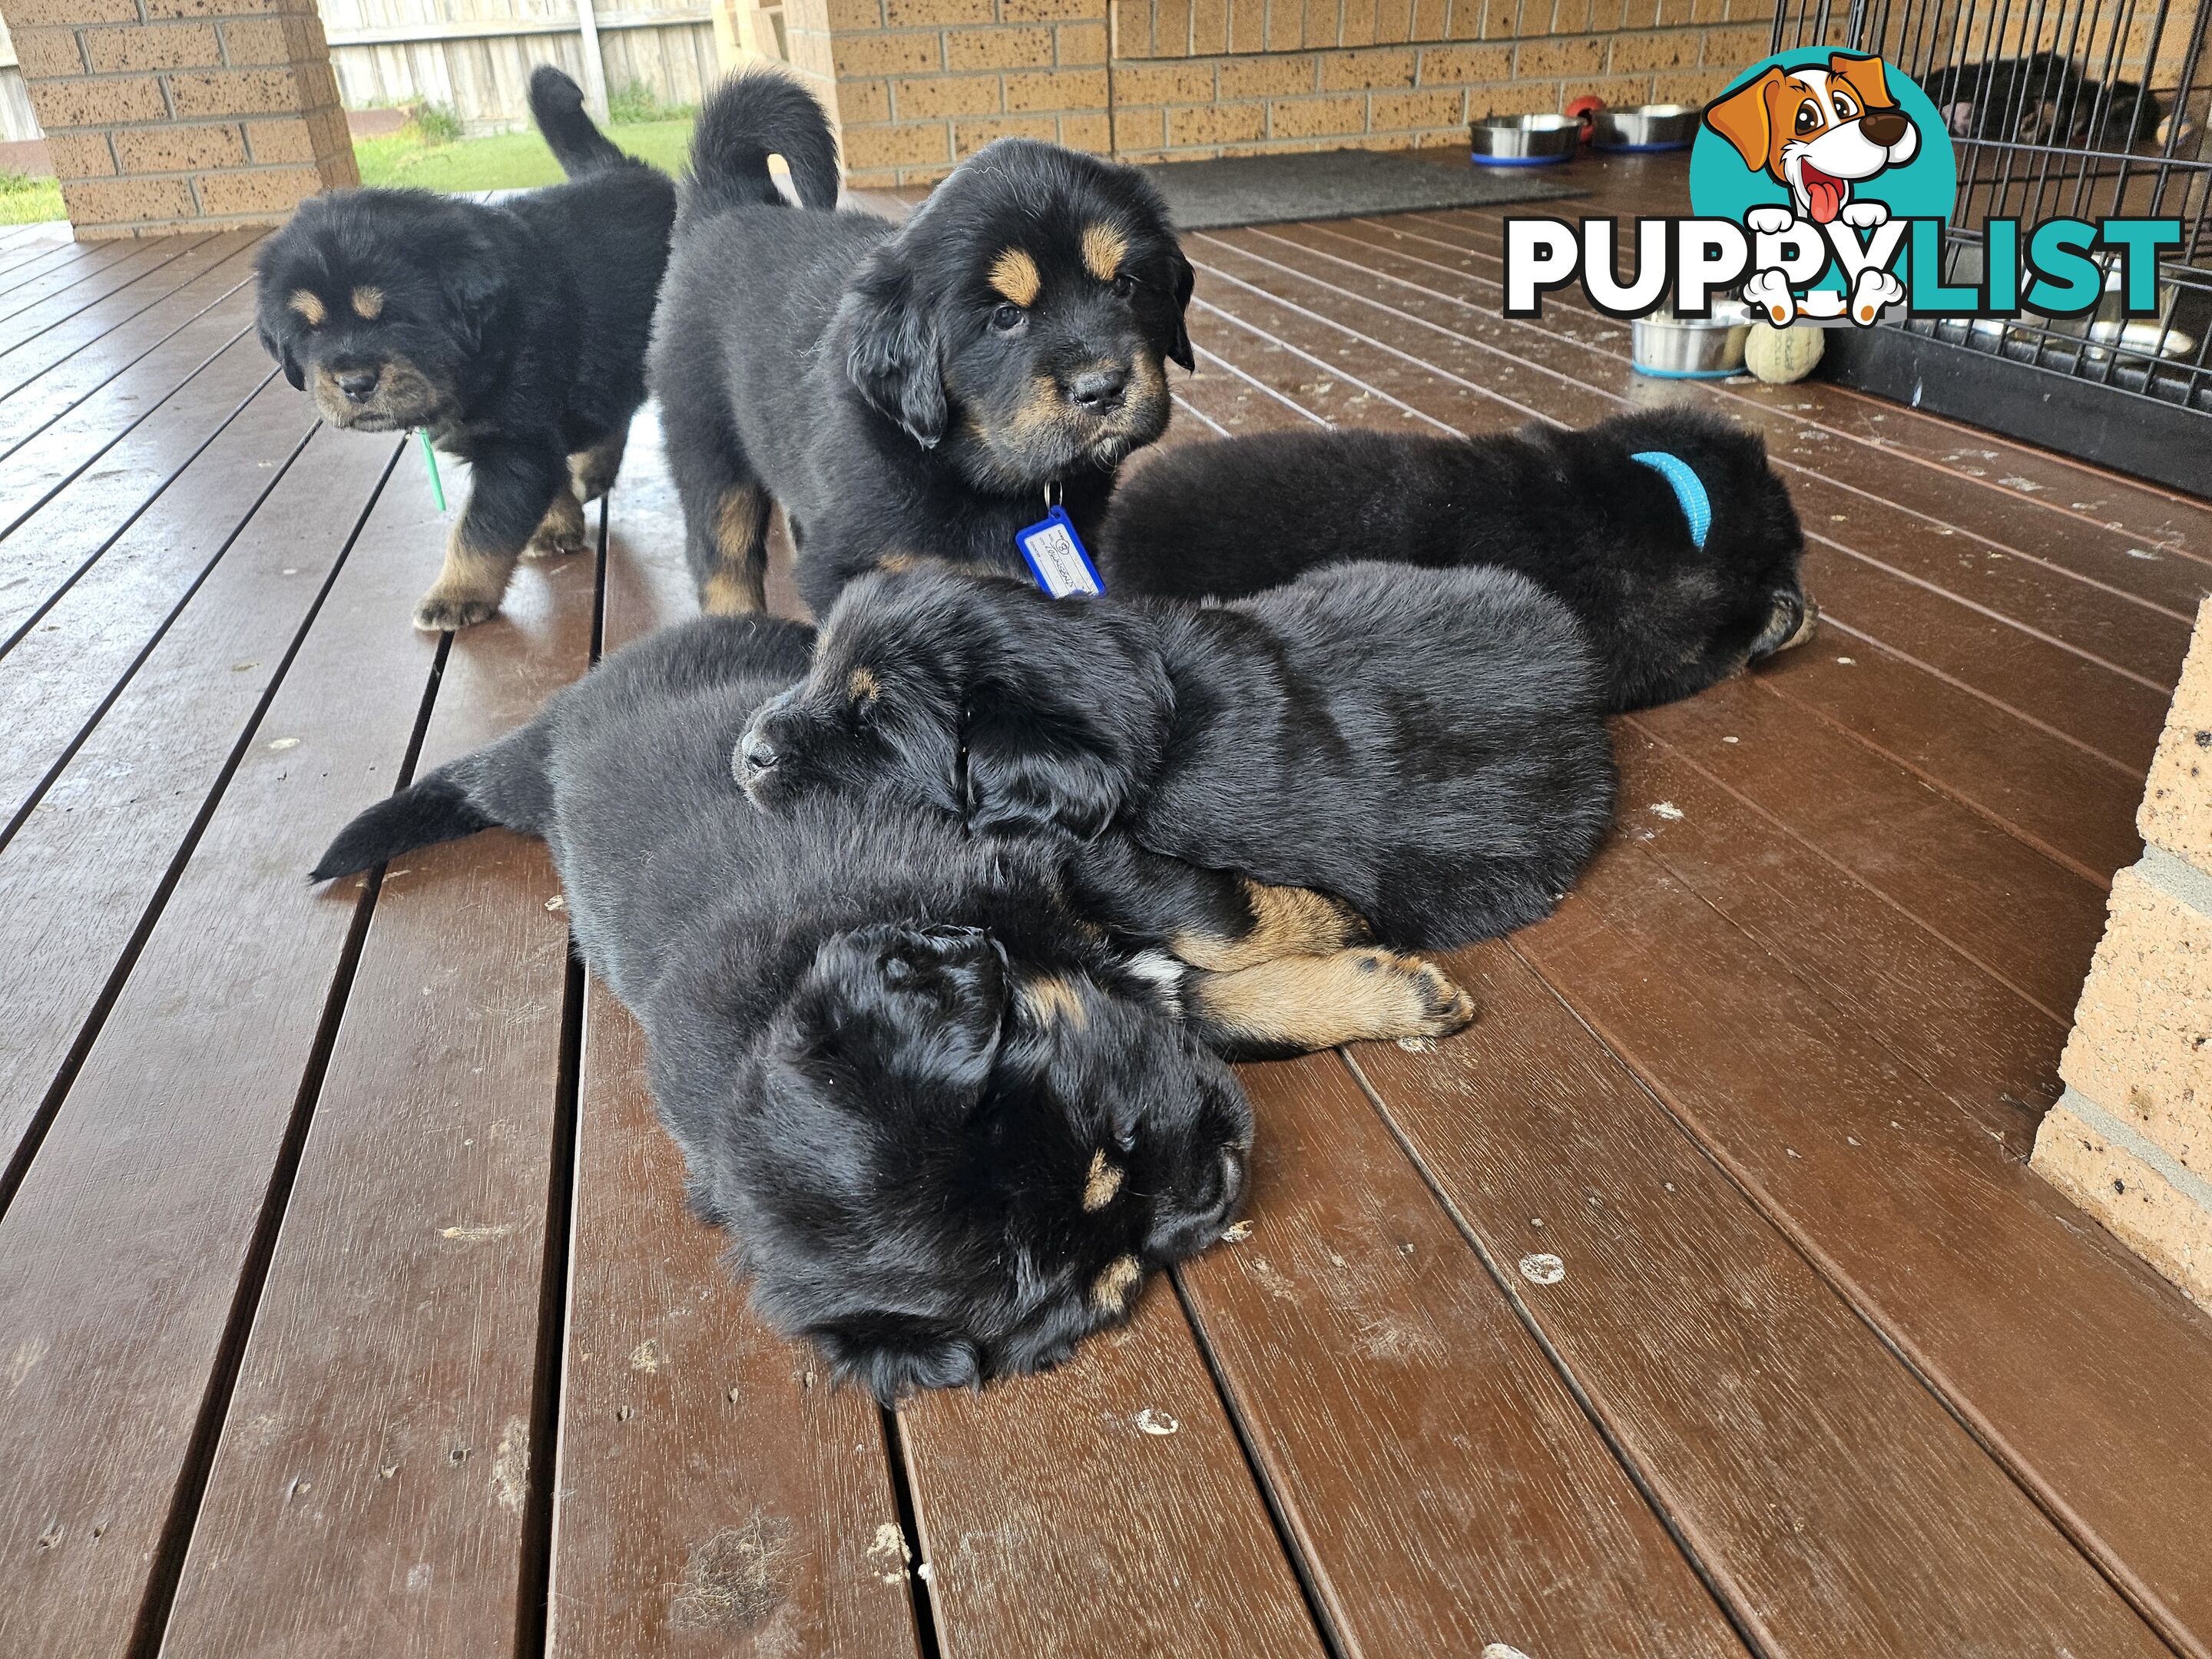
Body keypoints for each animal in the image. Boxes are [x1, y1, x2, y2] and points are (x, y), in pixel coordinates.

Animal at [253, 68, 672, 632]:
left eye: (395, 318)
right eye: (309, 330)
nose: (354, 383)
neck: (491, 340)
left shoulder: (516, 438)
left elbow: (479, 531)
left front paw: (455, 595)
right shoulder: (529, 437)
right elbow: (546, 485)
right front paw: (557, 526)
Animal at [307, 619, 1469, 1398]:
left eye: (1110, 1121)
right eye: (1105, 1282)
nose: (1228, 1180)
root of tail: (559, 719)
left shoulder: (1051, 857)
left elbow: (1215, 925)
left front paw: (1345, 935)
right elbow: (1196, 995)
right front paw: (1383, 986)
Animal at [645, 68, 1194, 619]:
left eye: (1124, 285)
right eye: (1006, 317)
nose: (1102, 389)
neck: (971, 469)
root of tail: (728, 203)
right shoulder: (841, 569)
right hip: (708, 450)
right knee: (723, 560)